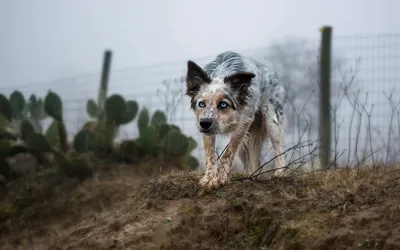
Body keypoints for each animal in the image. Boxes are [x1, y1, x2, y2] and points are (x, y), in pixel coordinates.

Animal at [186, 50, 286, 189]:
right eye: (201, 104)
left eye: (223, 104)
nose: (205, 124)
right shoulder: (204, 125)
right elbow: (210, 154)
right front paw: (209, 179)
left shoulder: (244, 123)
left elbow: (228, 152)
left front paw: (221, 178)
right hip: (246, 142)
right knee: (254, 161)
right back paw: (251, 177)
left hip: (272, 123)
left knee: (279, 150)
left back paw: (280, 173)